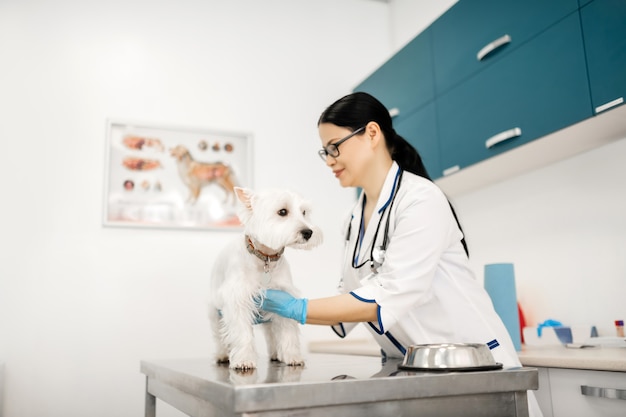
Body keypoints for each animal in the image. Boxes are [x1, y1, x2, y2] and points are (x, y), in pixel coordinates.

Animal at [208, 187, 322, 368]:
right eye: (282, 212)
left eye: (304, 212)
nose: (308, 232)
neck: (266, 258)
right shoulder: (238, 298)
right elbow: (242, 332)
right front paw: (244, 360)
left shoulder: (284, 299)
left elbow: (288, 331)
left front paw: (292, 356)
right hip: (214, 310)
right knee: (219, 334)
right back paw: (222, 355)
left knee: (271, 333)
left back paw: (275, 354)